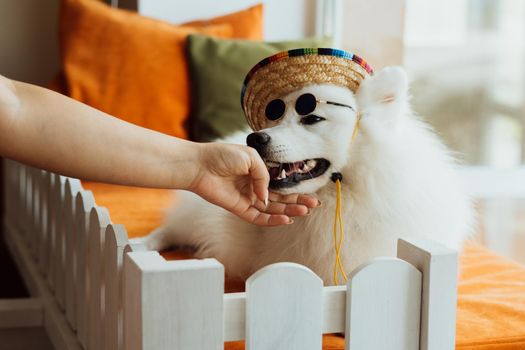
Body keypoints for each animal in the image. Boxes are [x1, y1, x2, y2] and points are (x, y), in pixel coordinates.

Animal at [145, 67, 472, 286]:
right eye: (276, 115)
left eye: (312, 118)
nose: (254, 139)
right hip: (196, 214)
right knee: (171, 230)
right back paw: (145, 246)